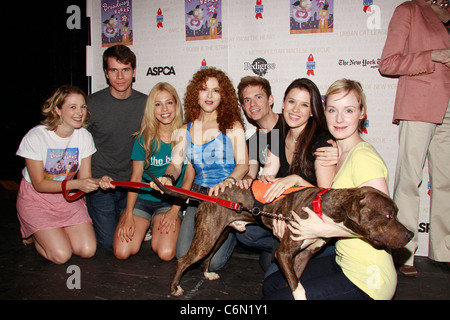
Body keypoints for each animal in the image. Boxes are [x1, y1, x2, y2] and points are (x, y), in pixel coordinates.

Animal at [149, 178, 414, 300]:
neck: (323, 210)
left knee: (209, 257)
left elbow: (294, 281)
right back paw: (175, 288)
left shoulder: (304, 255)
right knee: (183, 260)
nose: (411, 234)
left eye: (396, 212)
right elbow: (299, 287)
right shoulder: (283, 252)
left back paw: (207, 274)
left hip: (219, 234)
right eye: (389, 215)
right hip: (207, 237)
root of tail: (208, 194)